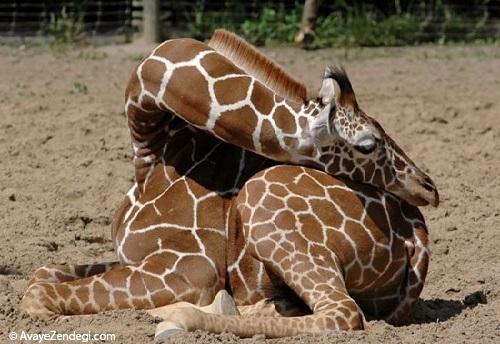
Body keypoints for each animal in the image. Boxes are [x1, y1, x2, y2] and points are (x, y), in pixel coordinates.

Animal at [18, 29, 434, 336]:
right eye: (368, 143)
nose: (428, 186)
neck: (152, 154)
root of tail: (418, 236)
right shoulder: (132, 258)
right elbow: (42, 272)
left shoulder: (190, 266)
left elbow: (38, 293)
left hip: (261, 197)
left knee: (342, 313)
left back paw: (179, 316)